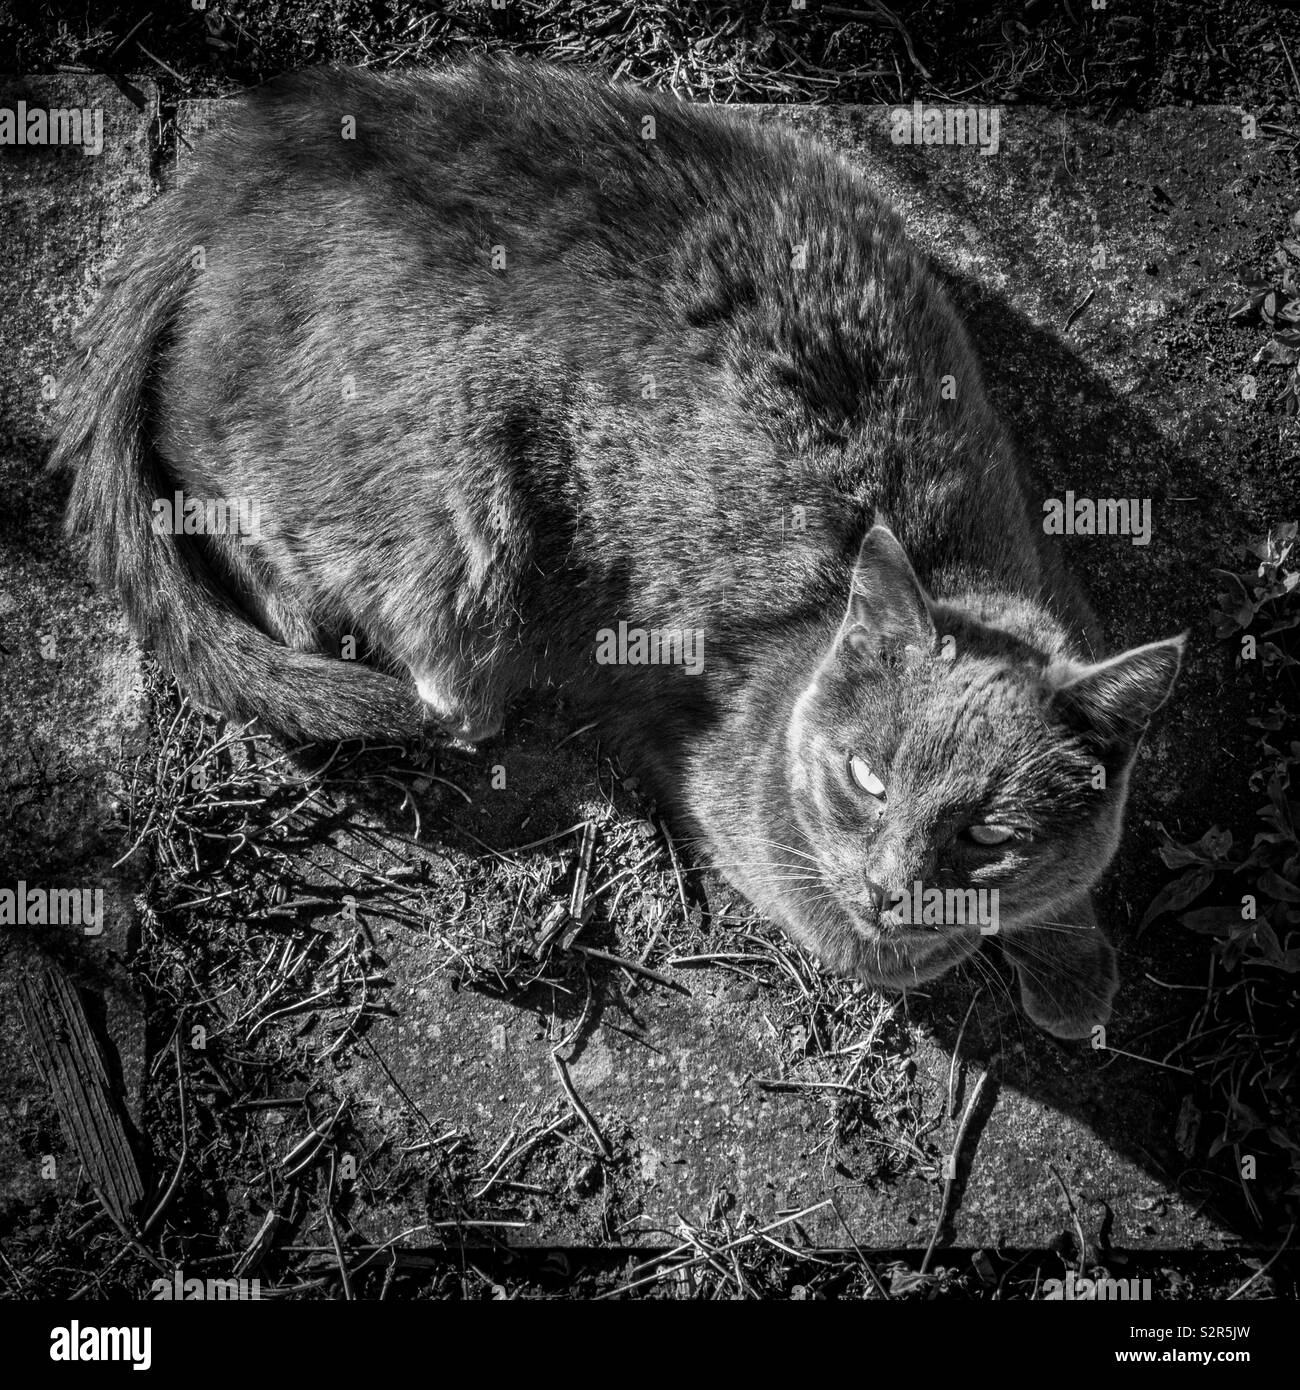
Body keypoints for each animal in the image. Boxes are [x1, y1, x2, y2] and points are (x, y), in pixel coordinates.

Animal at [53, 62, 1190, 1045]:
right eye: (866, 778)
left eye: (988, 838)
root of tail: (250, 151)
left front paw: (1070, 964)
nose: (888, 887)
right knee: (220, 491)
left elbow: (1061, 887)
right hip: (443, 510)